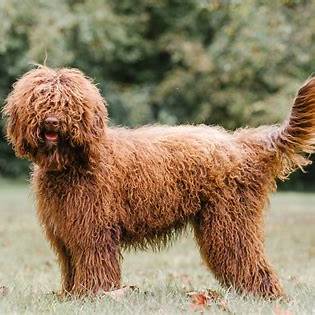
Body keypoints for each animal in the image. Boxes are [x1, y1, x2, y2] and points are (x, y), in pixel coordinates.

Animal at [3, 66, 315, 298]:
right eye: (40, 101)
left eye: (67, 104)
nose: (52, 122)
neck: (74, 163)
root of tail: (240, 144)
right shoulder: (67, 231)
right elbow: (71, 266)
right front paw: (71, 296)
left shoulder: (94, 231)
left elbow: (94, 264)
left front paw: (94, 295)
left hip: (229, 222)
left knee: (247, 258)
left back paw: (266, 296)